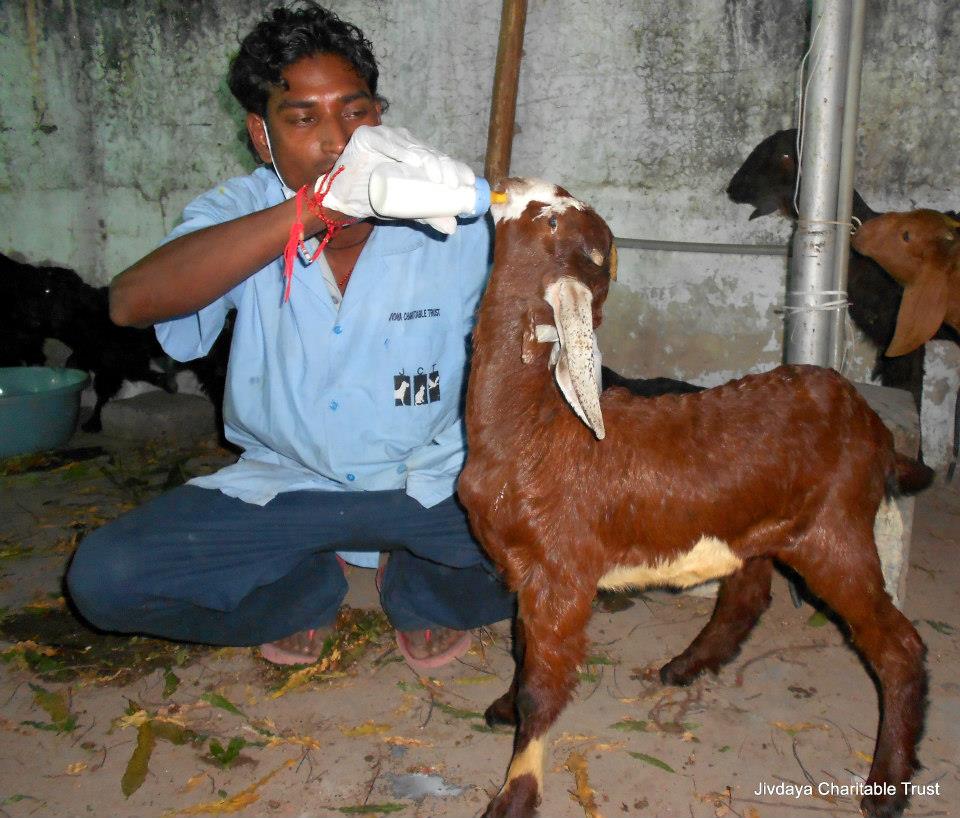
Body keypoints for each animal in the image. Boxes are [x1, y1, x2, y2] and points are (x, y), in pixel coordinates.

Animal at [458, 178, 931, 818]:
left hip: (835, 530)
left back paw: (888, 786)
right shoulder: (521, 571)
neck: (535, 428)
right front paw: (503, 706)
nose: (503, 186)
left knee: (898, 643)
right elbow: (518, 643)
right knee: (748, 593)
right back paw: (687, 665)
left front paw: (514, 794)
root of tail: (872, 424)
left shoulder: (561, 575)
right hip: (760, 526)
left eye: (553, 219)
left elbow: (542, 684)